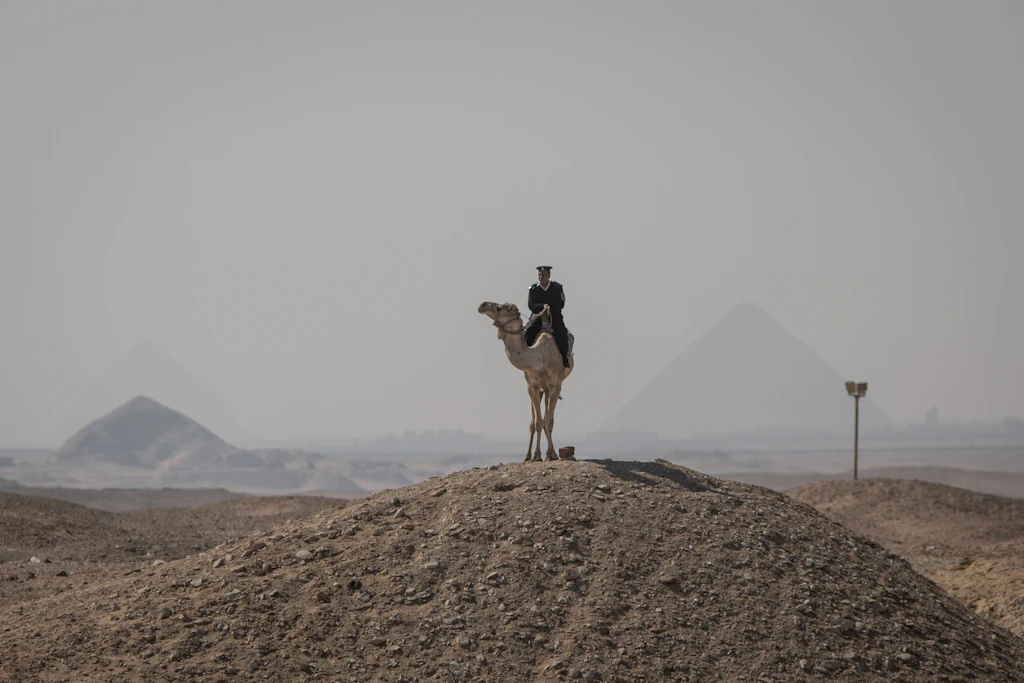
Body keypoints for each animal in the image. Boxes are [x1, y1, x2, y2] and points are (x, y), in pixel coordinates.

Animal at [478, 301, 574, 461]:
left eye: (499, 307)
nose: (482, 305)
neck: (539, 357)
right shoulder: (532, 386)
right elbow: (537, 422)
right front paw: (535, 455)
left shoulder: (555, 385)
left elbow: (548, 421)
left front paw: (551, 454)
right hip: (540, 389)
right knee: (536, 420)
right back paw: (528, 455)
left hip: (551, 387)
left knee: (548, 417)